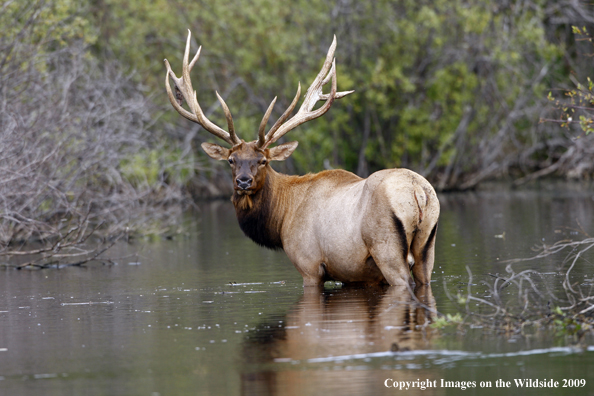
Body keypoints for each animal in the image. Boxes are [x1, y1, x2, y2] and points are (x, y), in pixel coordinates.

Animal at [164, 30, 438, 284]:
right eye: (231, 161)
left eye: (263, 161)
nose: (243, 181)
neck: (282, 218)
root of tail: (418, 191)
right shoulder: (360, 277)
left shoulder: (309, 265)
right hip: (426, 248)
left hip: (386, 248)